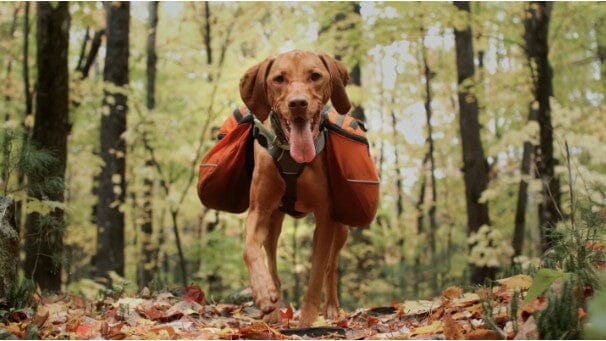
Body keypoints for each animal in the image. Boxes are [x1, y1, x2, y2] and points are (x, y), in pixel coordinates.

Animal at [238, 49, 352, 324]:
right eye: (279, 79)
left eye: (315, 76)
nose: (298, 103)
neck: (292, 157)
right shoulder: (258, 211)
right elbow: (249, 249)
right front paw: (262, 291)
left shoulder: (326, 217)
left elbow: (317, 274)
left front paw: (308, 321)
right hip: (273, 222)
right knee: (271, 257)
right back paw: (273, 308)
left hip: (342, 228)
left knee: (332, 266)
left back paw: (331, 308)